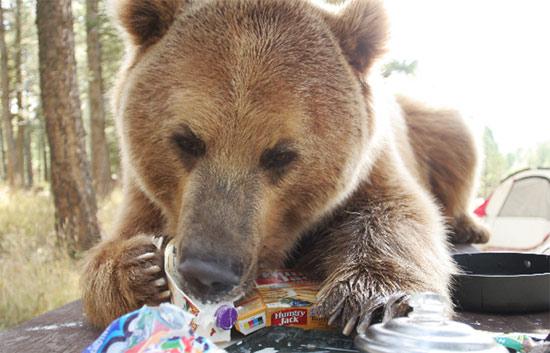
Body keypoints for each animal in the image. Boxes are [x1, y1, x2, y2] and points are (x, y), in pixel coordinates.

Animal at [82, 0, 492, 334]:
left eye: (280, 154)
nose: (207, 271)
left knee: (456, 137)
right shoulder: (146, 189)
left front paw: (371, 298)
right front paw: (140, 270)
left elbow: (400, 214)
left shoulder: (372, 166)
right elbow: (121, 239)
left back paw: (468, 225)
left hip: (427, 124)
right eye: (186, 140)